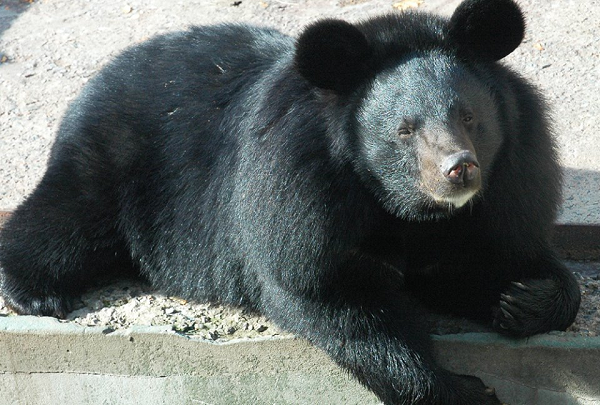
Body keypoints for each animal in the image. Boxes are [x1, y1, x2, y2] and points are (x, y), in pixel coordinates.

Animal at [0, 0, 580, 402]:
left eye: (469, 117)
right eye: (404, 130)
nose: (459, 171)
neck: (409, 211)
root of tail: (113, 66)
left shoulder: (508, 188)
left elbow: (502, 253)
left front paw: (522, 297)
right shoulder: (299, 203)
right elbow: (331, 301)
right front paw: (466, 389)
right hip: (115, 159)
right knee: (66, 219)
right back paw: (37, 293)